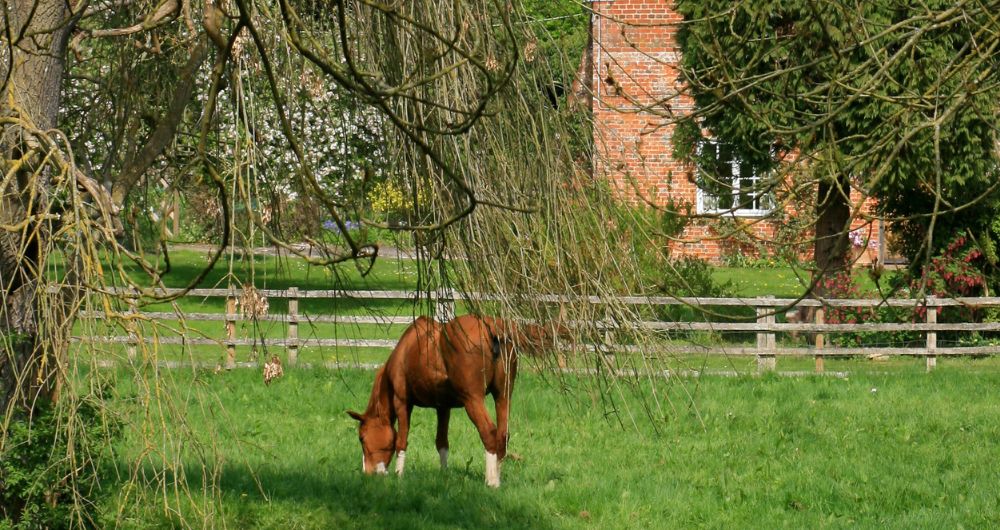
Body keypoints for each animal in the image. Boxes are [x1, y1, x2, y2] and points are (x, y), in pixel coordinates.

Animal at [347, 313, 560, 487]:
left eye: (362, 438)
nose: (367, 473)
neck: (406, 348)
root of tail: (493, 326)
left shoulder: (402, 402)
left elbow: (401, 440)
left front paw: (399, 475)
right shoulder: (443, 407)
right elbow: (442, 442)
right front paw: (444, 474)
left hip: (473, 400)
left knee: (489, 433)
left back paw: (491, 482)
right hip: (503, 395)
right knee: (502, 435)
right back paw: (497, 477)